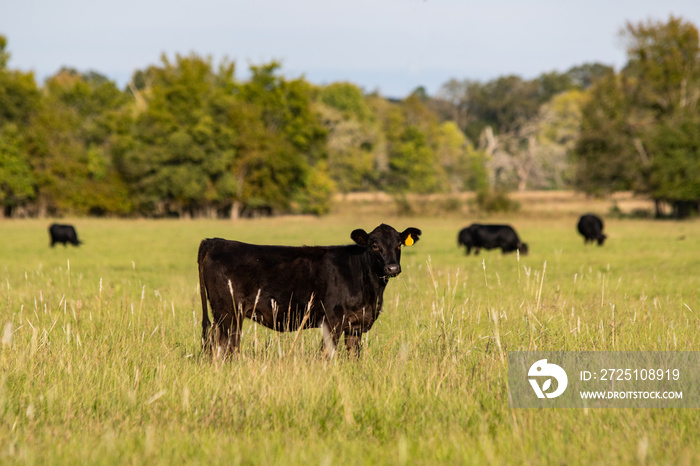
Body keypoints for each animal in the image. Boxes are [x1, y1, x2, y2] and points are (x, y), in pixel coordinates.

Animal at [197, 222, 422, 356]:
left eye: (399, 244)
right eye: (374, 245)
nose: (392, 268)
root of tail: (215, 241)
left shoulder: (356, 325)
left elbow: (354, 355)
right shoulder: (332, 320)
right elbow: (326, 355)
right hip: (228, 314)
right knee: (224, 348)